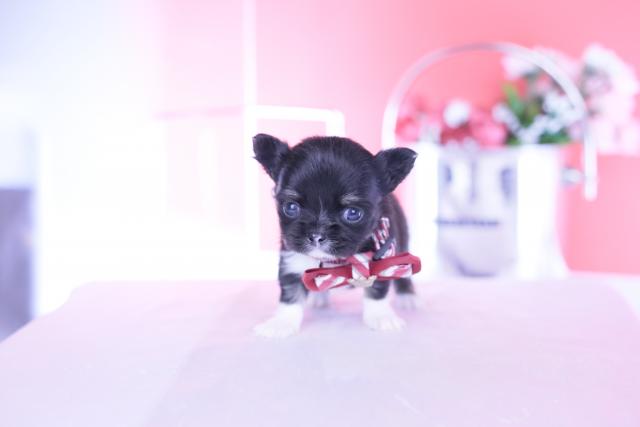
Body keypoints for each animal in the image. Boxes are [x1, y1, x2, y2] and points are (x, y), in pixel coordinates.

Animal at [253, 134, 417, 337]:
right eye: (291, 207)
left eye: (353, 213)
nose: (316, 235)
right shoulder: (292, 260)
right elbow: (290, 294)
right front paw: (281, 323)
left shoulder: (384, 256)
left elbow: (378, 289)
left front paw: (381, 316)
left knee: (404, 273)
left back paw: (407, 296)